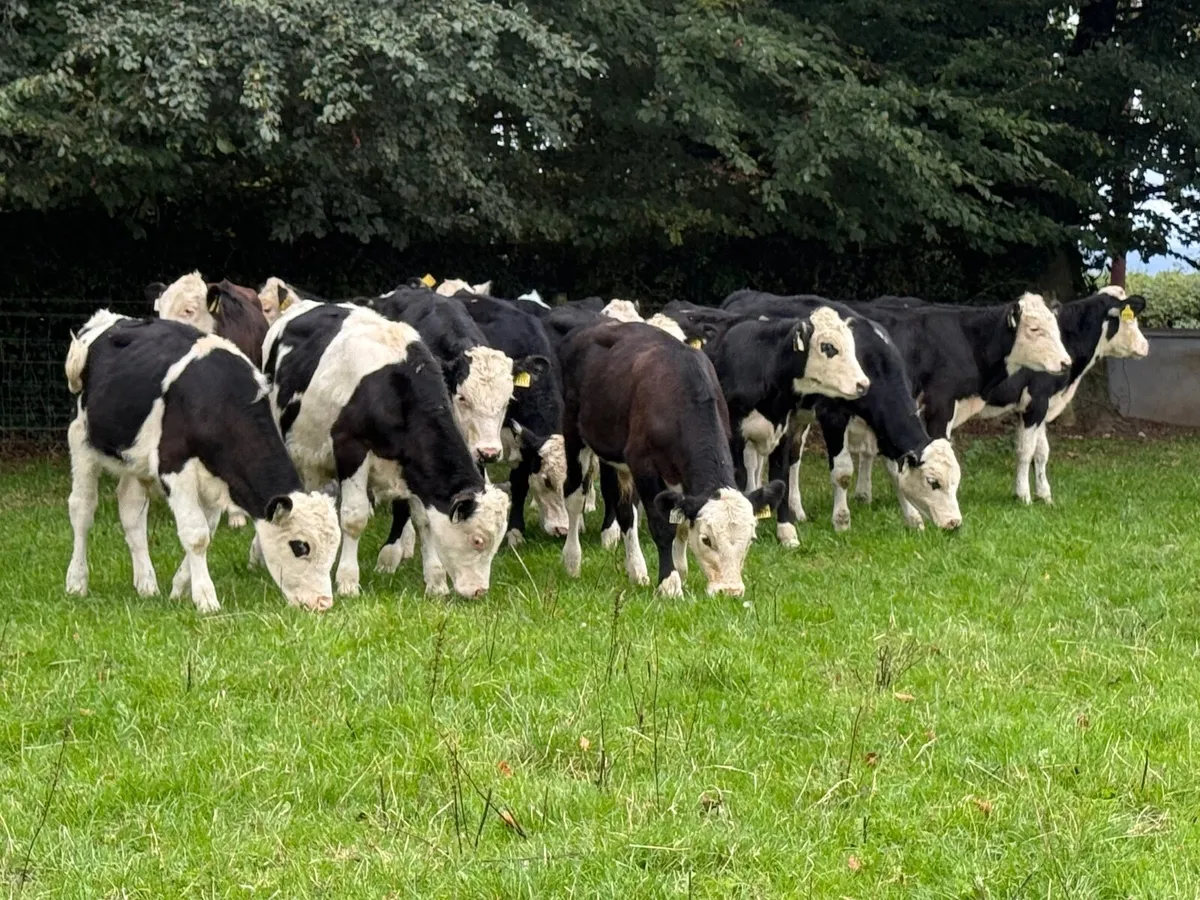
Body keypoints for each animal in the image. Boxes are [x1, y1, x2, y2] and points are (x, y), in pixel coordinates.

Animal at [63, 310, 340, 613]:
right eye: (300, 546)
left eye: (333, 549)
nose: (323, 602)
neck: (219, 397)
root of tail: (108, 319)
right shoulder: (175, 466)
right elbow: (196, 534)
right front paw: (206, 598)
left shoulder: (218, 478)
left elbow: (207, 529)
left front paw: (179, 588)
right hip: (81, 440)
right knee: (82, 509)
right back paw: (76, 582)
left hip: (134, 461)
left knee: (131, 511)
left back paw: (146, 584)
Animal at [262, 300, 511, 598]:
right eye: (477, 540)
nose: (479, 591)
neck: (394, 388)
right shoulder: (351, 448)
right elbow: (354, 517)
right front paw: (347, 581)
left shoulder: (413, 464)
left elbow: (423, 520)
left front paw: (436, 581)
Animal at [557, 321, 784, 597]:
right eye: (707, 539)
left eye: (750, 538)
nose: (729, 591)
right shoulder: (643, 464)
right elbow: (662, 525)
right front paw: (669, 583)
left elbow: (682, 525)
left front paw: (681, 571)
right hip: (574, 433)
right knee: (574, 497)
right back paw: (572, 562)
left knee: (625, 509)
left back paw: (636, 570)